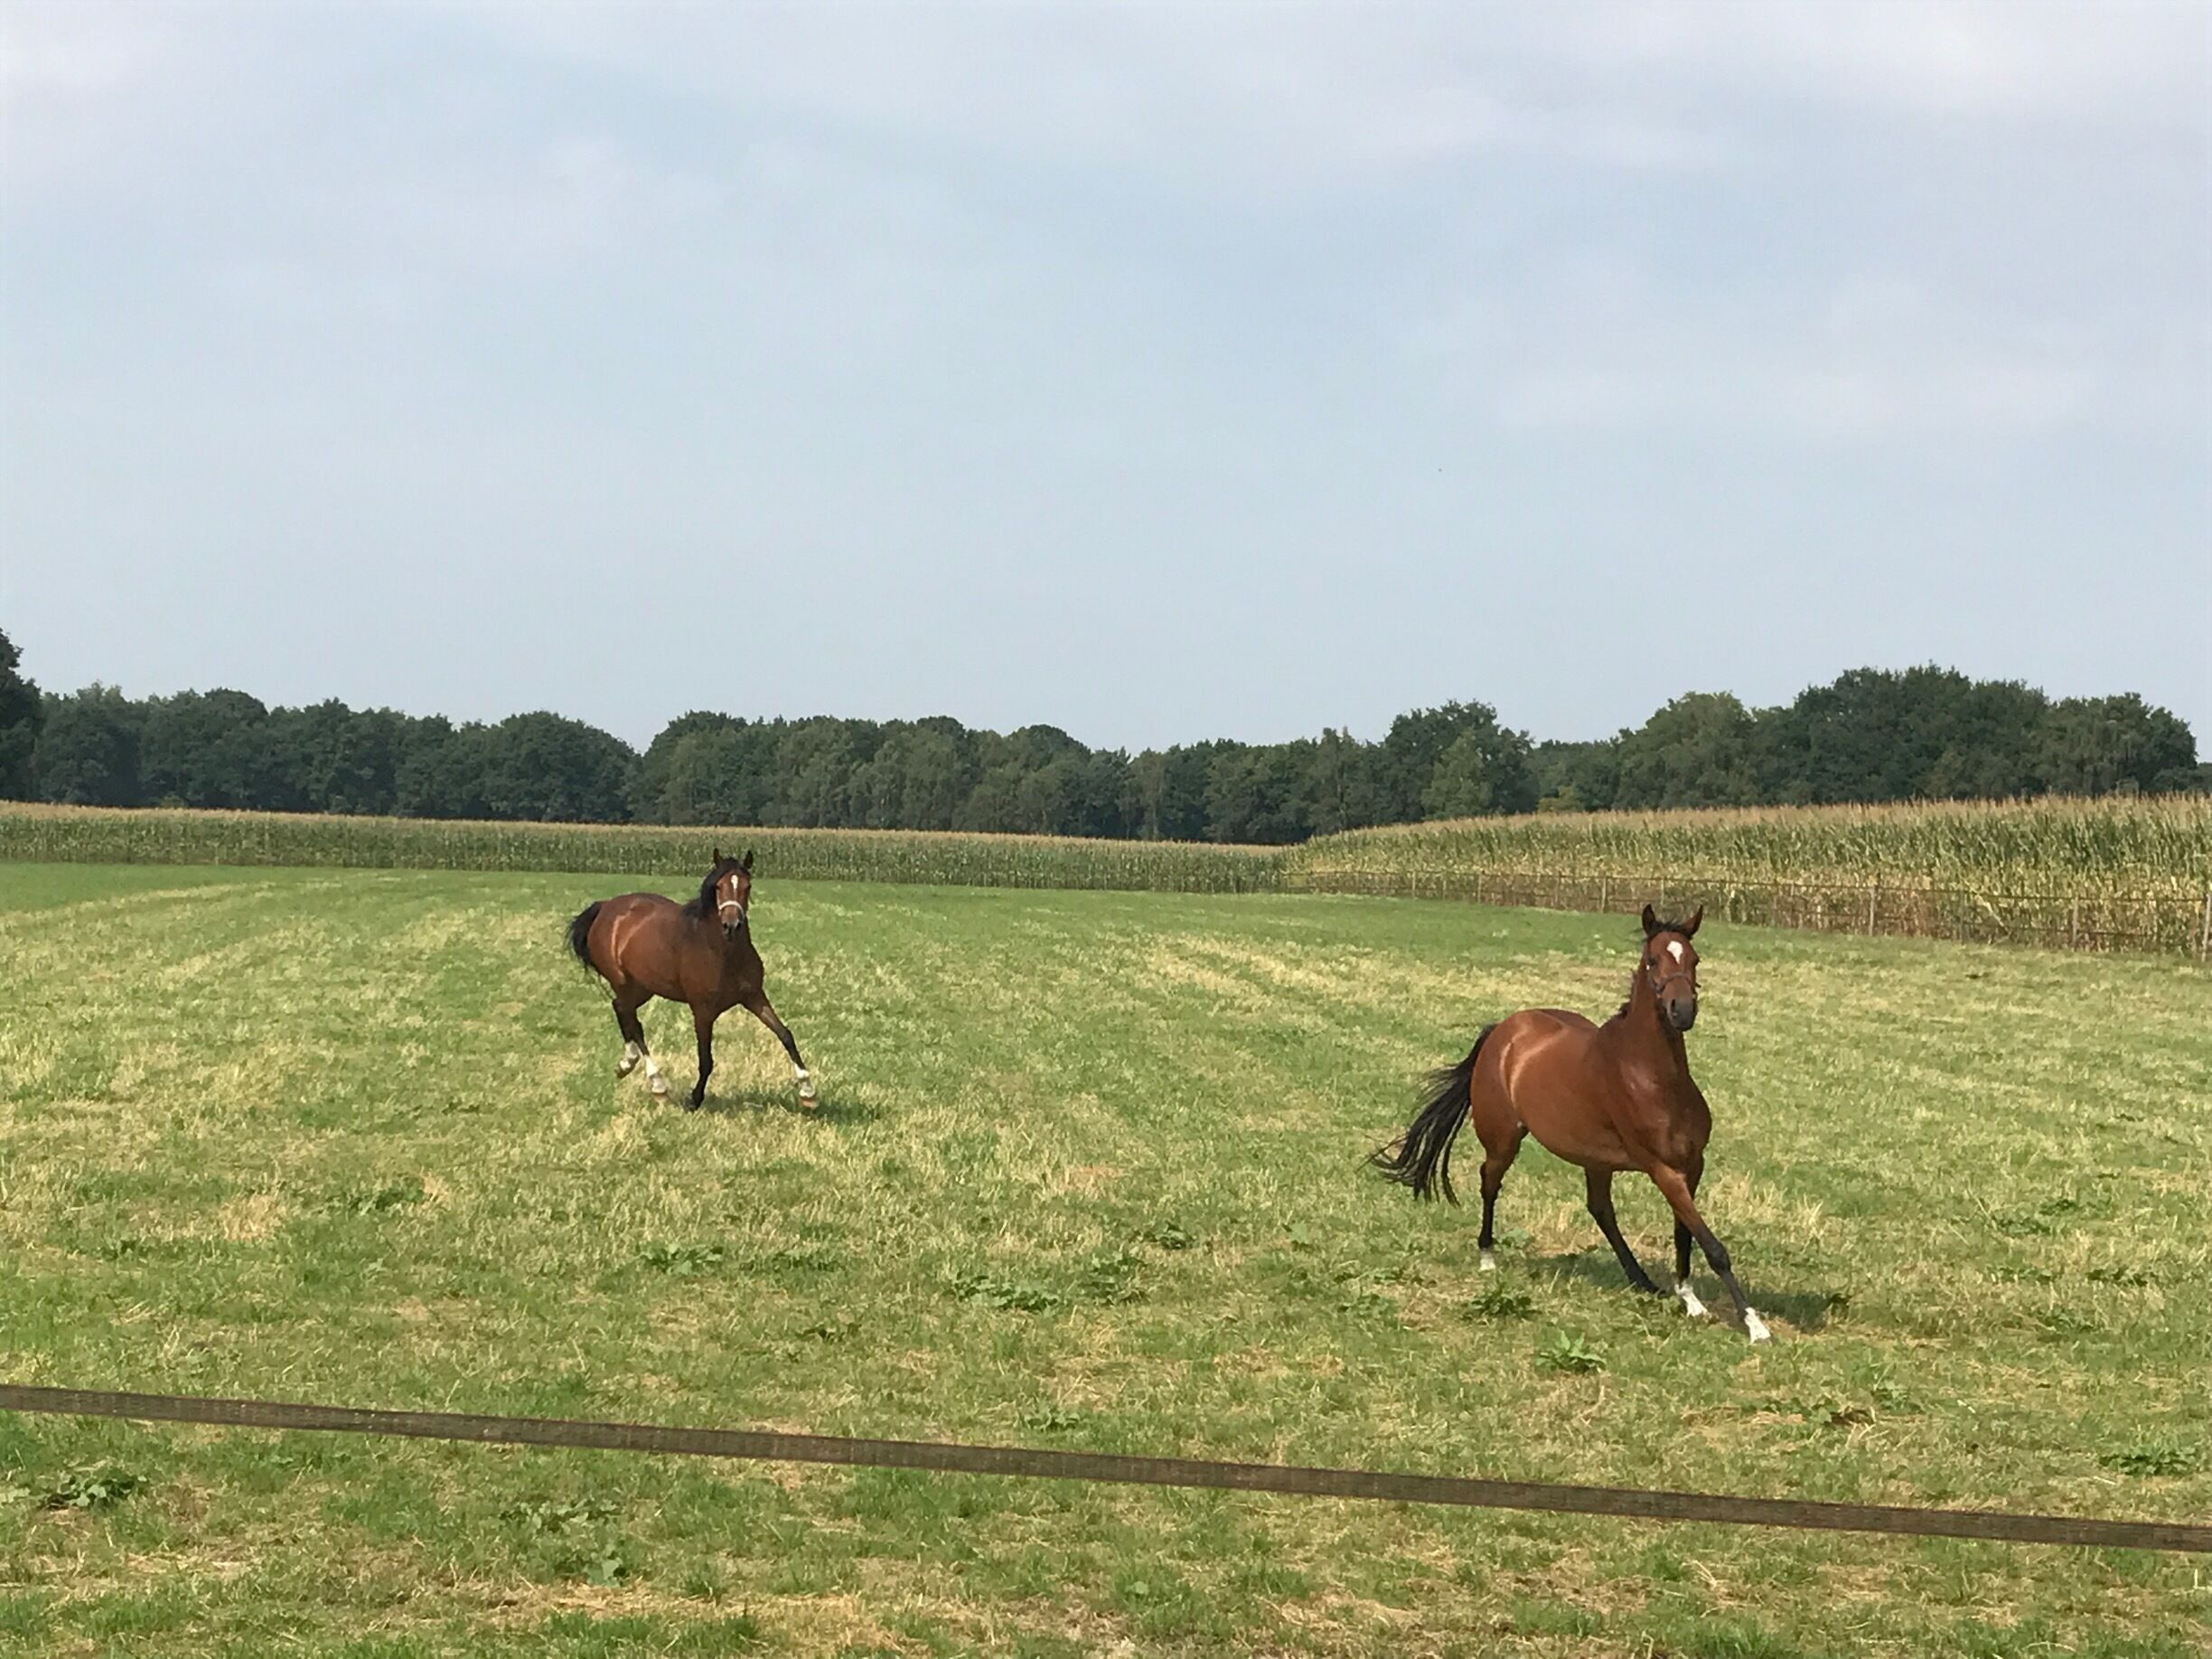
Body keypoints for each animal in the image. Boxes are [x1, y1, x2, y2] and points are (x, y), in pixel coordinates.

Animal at [565, 849, 816, 1112]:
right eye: (718, 887)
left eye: (747, 886)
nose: (732, 926)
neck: (722, 952)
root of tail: (605, 907)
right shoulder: (702, 1011)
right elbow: (706, 1060)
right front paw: (694, 1099)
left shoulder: (754, 997)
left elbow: (786, 1035)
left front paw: (808, 1092)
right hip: (623, 982)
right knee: (632, 1020)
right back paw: (657, 1085)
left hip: (643, 987)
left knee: (622, 1010)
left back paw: (627, 1064)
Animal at [1371, 904, 1771, 1342]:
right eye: (1653, 961)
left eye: (1694, 960)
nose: (1682, 1011)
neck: (1652, 1077)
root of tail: (1504, 1030)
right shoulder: (1662, 1169)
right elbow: (1713, 1246)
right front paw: (1754, 1324)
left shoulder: (1692, 1165)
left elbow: (1685, 1232)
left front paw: (1690, 1299)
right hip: (1504, 1140)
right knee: (1489, 1181)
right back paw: (1488, 1256)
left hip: (1595, 1160)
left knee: (1600, 1210)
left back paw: (1642, 1281)